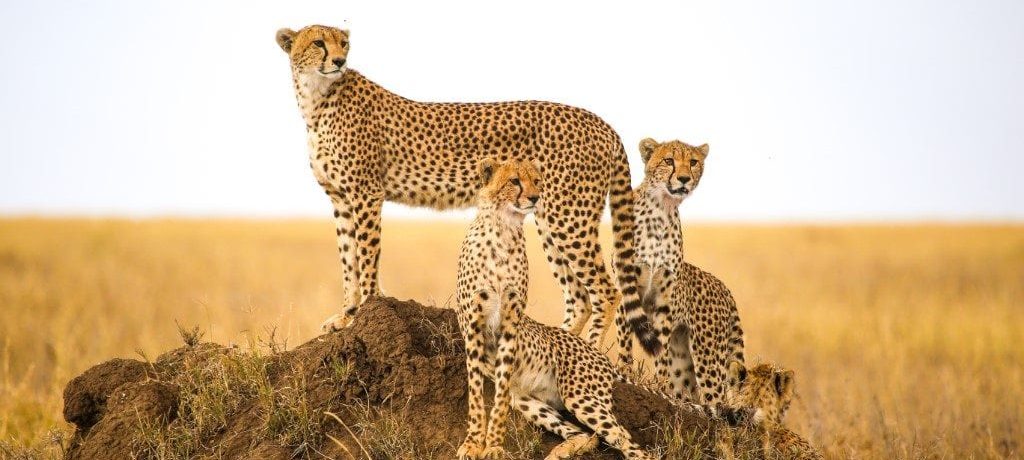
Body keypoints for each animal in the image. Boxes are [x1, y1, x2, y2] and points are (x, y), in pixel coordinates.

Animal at [274, 24, 658, 356]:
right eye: (318, 43)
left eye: (344, 43)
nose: (339, 61)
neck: (317, 99)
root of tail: (601, 122)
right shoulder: (340, 198)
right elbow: (347, 260)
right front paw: (346, 315)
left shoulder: (365, 193)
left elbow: (366, 257)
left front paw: (365, 310)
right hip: (549, 216)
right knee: (579, 297)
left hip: (568, 216)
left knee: (606, 291)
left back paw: (587, 352)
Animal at [617, 137, 745, 407]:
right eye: (669, 160)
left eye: (693, 162)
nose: (684, 178)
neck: (661, 209)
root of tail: (724, 287)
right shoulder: (627, 287)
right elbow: (625, 340)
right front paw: (624, 371)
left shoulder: (664, 299)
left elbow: (660, 348)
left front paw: (659, 385)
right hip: (687, 360)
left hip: (708, 355)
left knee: (716, 398)